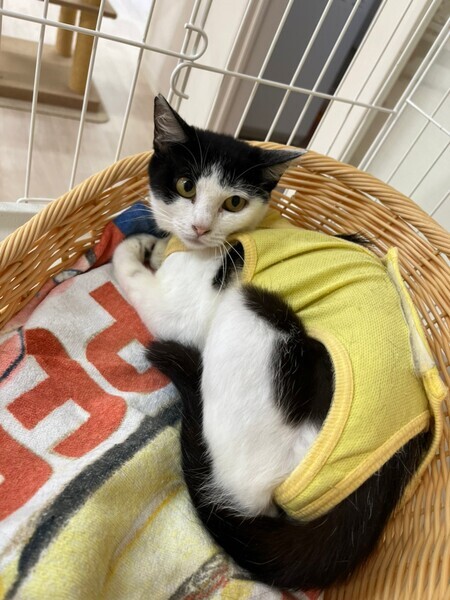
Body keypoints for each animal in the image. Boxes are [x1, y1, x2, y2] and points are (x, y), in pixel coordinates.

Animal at [113, 95, 431, 590]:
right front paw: (154, 240)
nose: (199, 228)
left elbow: (133, 276)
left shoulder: (184, 309)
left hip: (252, 311)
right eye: (186, 186)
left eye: (233, 202)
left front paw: (134, 247)